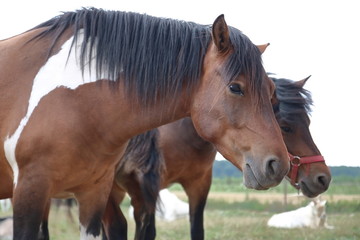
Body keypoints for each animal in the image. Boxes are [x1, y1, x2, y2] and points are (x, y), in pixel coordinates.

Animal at [0, 8, 288, 239]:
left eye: (272, 91)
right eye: (235, 88)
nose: (278, 165)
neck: (76, 100)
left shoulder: (94, 194)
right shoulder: (29, 190)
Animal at [101, 76, 332, 239]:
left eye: (308, 123)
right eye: (285, 127)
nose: (323, 178)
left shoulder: (199, 185)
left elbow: (196, 229)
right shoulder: (147, 189)